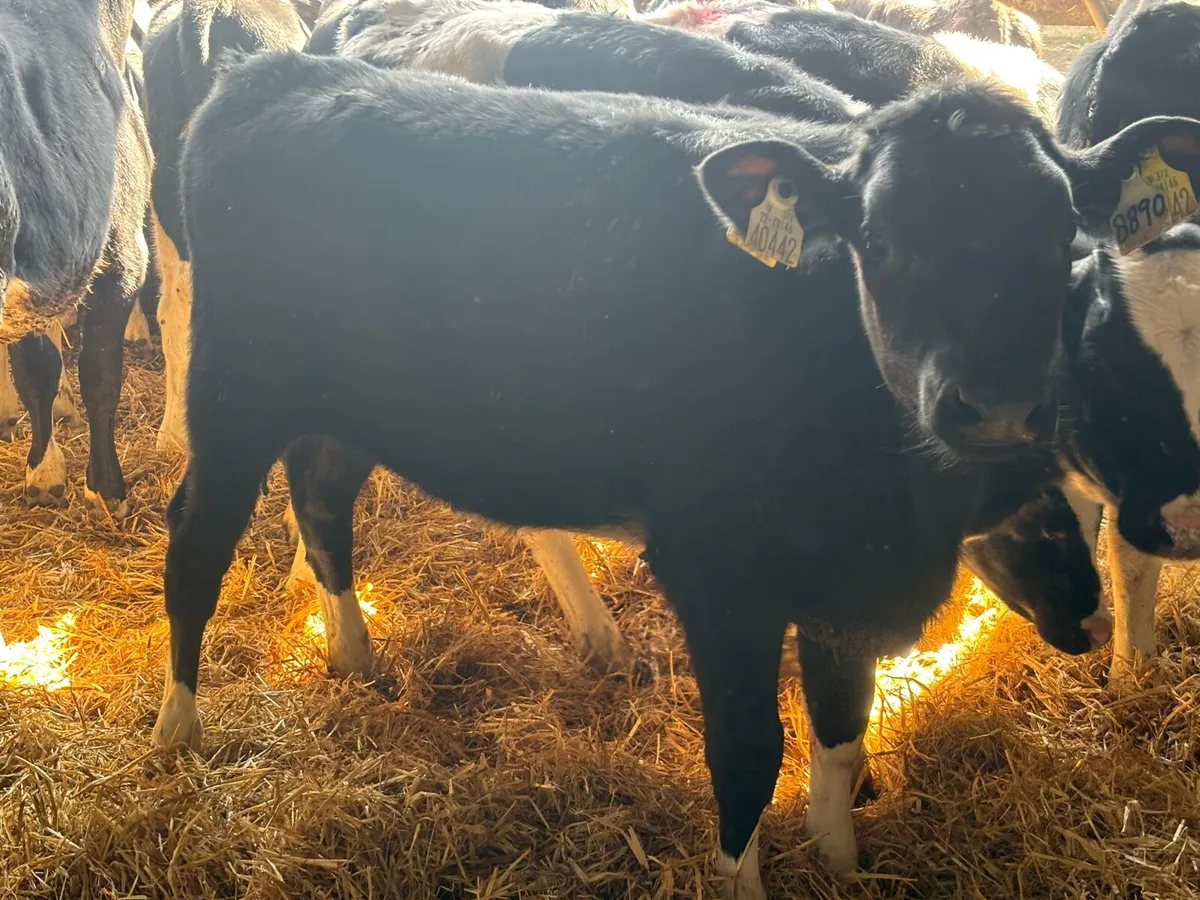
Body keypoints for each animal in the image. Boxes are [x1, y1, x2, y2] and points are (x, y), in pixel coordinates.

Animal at [151, 48, 1200, 893]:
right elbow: (749, 750)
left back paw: (356, 657)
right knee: (197, 540)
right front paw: (745, 880)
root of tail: (274, 71)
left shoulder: (844, 588)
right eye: (880, 241)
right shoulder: (718, 576)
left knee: (324, 502)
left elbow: (840, 729)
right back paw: (177, 730)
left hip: (335, 407)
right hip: (233, 390)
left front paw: (840, 859)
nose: (999, 406)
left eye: (1061, 237)